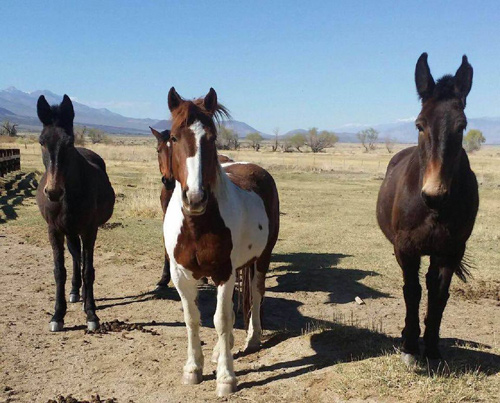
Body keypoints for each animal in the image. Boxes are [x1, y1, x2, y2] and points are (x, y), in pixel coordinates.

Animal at [35, 94, 114, 332]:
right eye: (41, 142)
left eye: (68, 143)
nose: (53, 192)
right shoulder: (54, 230)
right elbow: (59, 271)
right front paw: (57, 315)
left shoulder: (89, 230)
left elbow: (89, 270)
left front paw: (91, 314)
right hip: (69, 232)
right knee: (75, 257)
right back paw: (74, 292)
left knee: (81, 260)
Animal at [162, 88, 280, 398]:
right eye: (174, 137)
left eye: (212, 138)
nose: (195, 198)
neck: (196, 225)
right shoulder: (180, 274)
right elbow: (193, 318)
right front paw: (193, 368)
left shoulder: (224, 272)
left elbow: (222, 320)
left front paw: (226, 377)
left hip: (262, 258)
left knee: (256, 294)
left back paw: (252, 339)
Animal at [376, 53, 478, 366]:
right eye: (420, 125)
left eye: (461, 126)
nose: (434, 196)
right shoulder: (406, 249)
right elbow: (412, 292)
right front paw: (410, 347)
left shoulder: (450, 251)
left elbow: (439, 295)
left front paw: (432, 350)